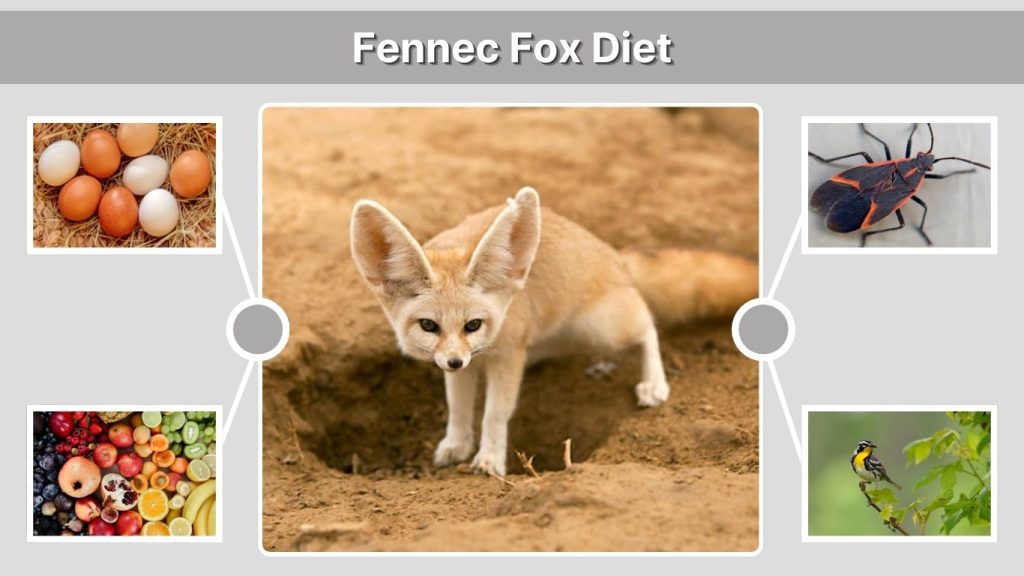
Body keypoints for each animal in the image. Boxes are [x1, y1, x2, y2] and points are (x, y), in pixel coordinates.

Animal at [350, 187, 757, 476]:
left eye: (473, 324)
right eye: (429, 326)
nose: (453, 361)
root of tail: (613, 254)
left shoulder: (506, 355)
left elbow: (495, 413)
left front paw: (490, 459)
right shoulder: (467, 364)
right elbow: (459, 408)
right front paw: (456, 445)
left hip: (603, 326)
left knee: (647, 323)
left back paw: (653, 383)